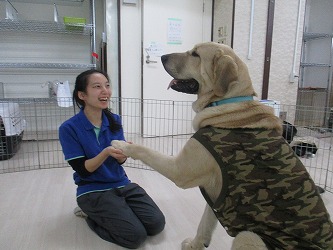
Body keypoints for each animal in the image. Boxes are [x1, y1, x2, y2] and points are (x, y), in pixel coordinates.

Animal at [111, 43, 332, 250]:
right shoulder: (215, 197)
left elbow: (144, 150)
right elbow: (204, 224)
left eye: (195, 54)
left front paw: (121, 144)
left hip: (248, 236)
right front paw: (195, 245)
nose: (163, 57)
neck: (225, 103)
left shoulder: (181, 170)